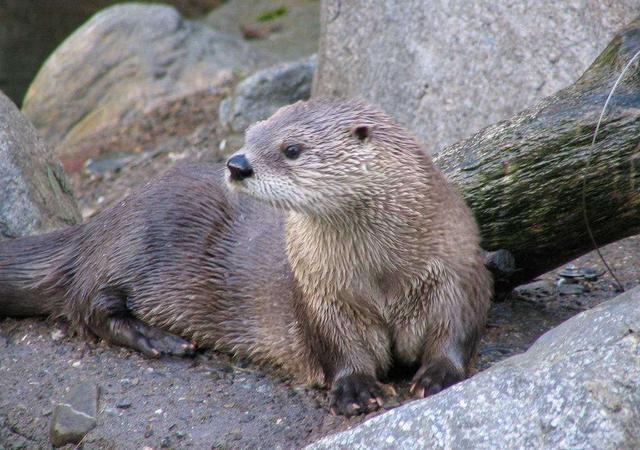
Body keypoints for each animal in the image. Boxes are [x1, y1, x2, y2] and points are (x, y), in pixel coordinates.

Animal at [0, 100, 492, 416]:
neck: (381, 274)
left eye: (292, 149)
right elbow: (340, 348)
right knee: (88, 305)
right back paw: (162, 339)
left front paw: (438, 373)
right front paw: (354, 389)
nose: (237, 163)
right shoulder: (319, 294)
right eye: (250, 136)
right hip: (127, 249)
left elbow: (456, 328)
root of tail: (100, 221)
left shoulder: (457, 270)